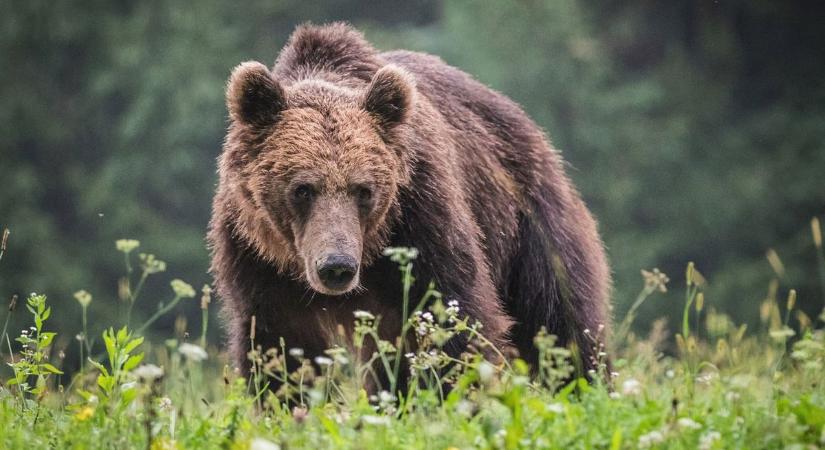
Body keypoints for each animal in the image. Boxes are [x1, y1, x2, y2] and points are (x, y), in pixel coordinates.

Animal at [208, 22, 612, 384]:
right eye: (302, 189)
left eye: (364, 190)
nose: (337, 266)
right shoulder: (258, 258)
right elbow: (279, 349)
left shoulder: (423, 218)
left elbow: (454, 322)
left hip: (527, 220)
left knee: (559, 316)